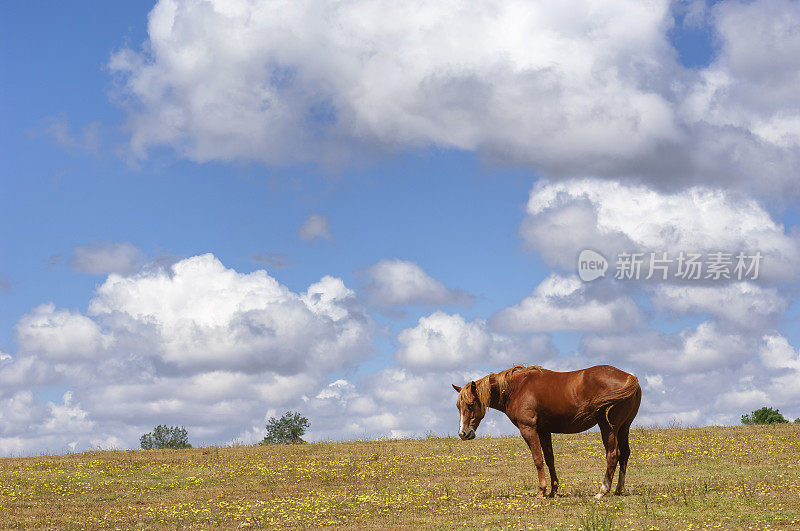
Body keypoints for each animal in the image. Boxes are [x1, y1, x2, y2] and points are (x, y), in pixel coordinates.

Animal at [454, 366, 640, 498]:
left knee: (613, 455)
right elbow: (550, 459)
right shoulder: (544, 431)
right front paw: (553, 490)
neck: (518, 388)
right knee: (624, 454)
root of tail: (630, 378)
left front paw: (541, 491)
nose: (463, 433)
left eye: (470, 404)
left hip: (608, 428)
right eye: (458, 406)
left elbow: (538, 459)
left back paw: (602, 490)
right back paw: (618, 489)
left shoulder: (528, 430)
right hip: (624, 428)